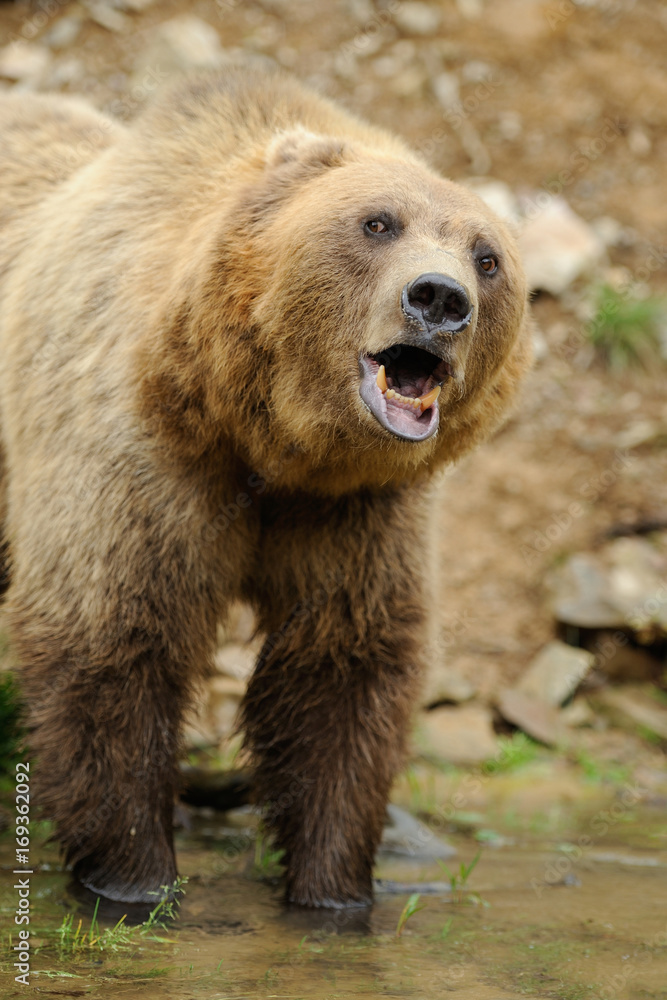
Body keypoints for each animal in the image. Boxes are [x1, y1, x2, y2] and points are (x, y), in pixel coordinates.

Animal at [0, 68, 532, 908]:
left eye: (486, 257)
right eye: (377, 222)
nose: (439, 298)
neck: (266, 439)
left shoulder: (354, 511)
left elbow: (339, 665)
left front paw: (333, 888)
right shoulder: (140, 458)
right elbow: (112, 630)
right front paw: (133, 879)